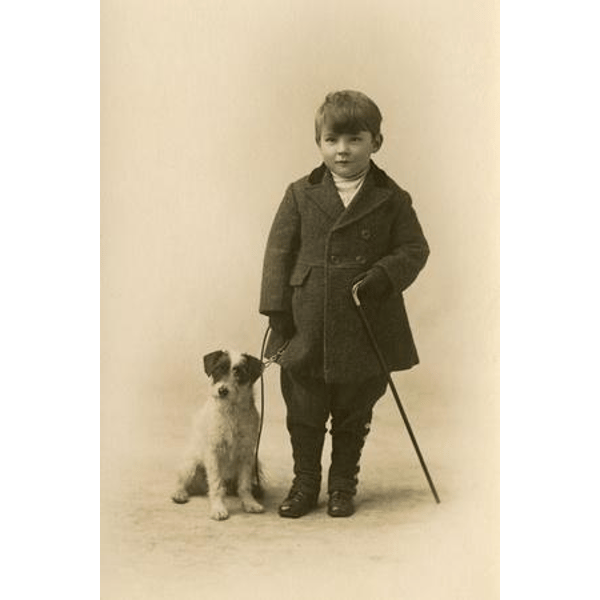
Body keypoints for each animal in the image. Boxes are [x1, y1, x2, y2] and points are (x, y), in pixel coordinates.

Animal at [171, 350, 265, 520]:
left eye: (239, 372)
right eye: (218, 369)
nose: (222, 391)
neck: (231, 411)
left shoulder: (247, 454)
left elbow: (244, 484)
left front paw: (249, 503)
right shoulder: (213, 452)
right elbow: (216, 484)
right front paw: (218, 508)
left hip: (256, 463)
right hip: (191, 464)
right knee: (182, 481)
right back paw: (179, 493)